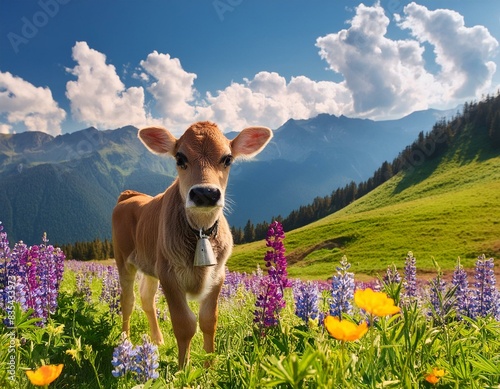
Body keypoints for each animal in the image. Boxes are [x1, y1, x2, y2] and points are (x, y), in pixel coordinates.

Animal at [112, 121, 274, 366]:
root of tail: (129, 195)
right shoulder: (169, 275)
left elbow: (208, 321)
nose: (205, 193)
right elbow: (184, 325)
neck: (200, 232)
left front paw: (210, 365)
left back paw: (157, 340)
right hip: (124, 260)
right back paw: (125, 341)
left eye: (227, 158)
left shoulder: (218, 274)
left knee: (147, 299)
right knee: (128, 301)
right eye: (180, 158)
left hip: (149, 266)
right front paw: (183, 368)